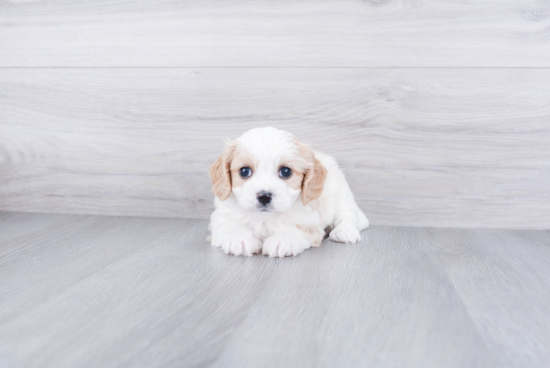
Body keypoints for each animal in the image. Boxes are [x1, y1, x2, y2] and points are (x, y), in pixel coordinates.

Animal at [209, 126, 368, 256]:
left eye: (285, 171)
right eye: (244, 171)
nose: (264, 196)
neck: (265, 218)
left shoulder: (308, 223)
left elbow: (293, 229)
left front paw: (282, 241)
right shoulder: (222, 218)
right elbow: (230, 226)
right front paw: (239, 239)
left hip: (342, 195)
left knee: (347, 216)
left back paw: (344, 231)